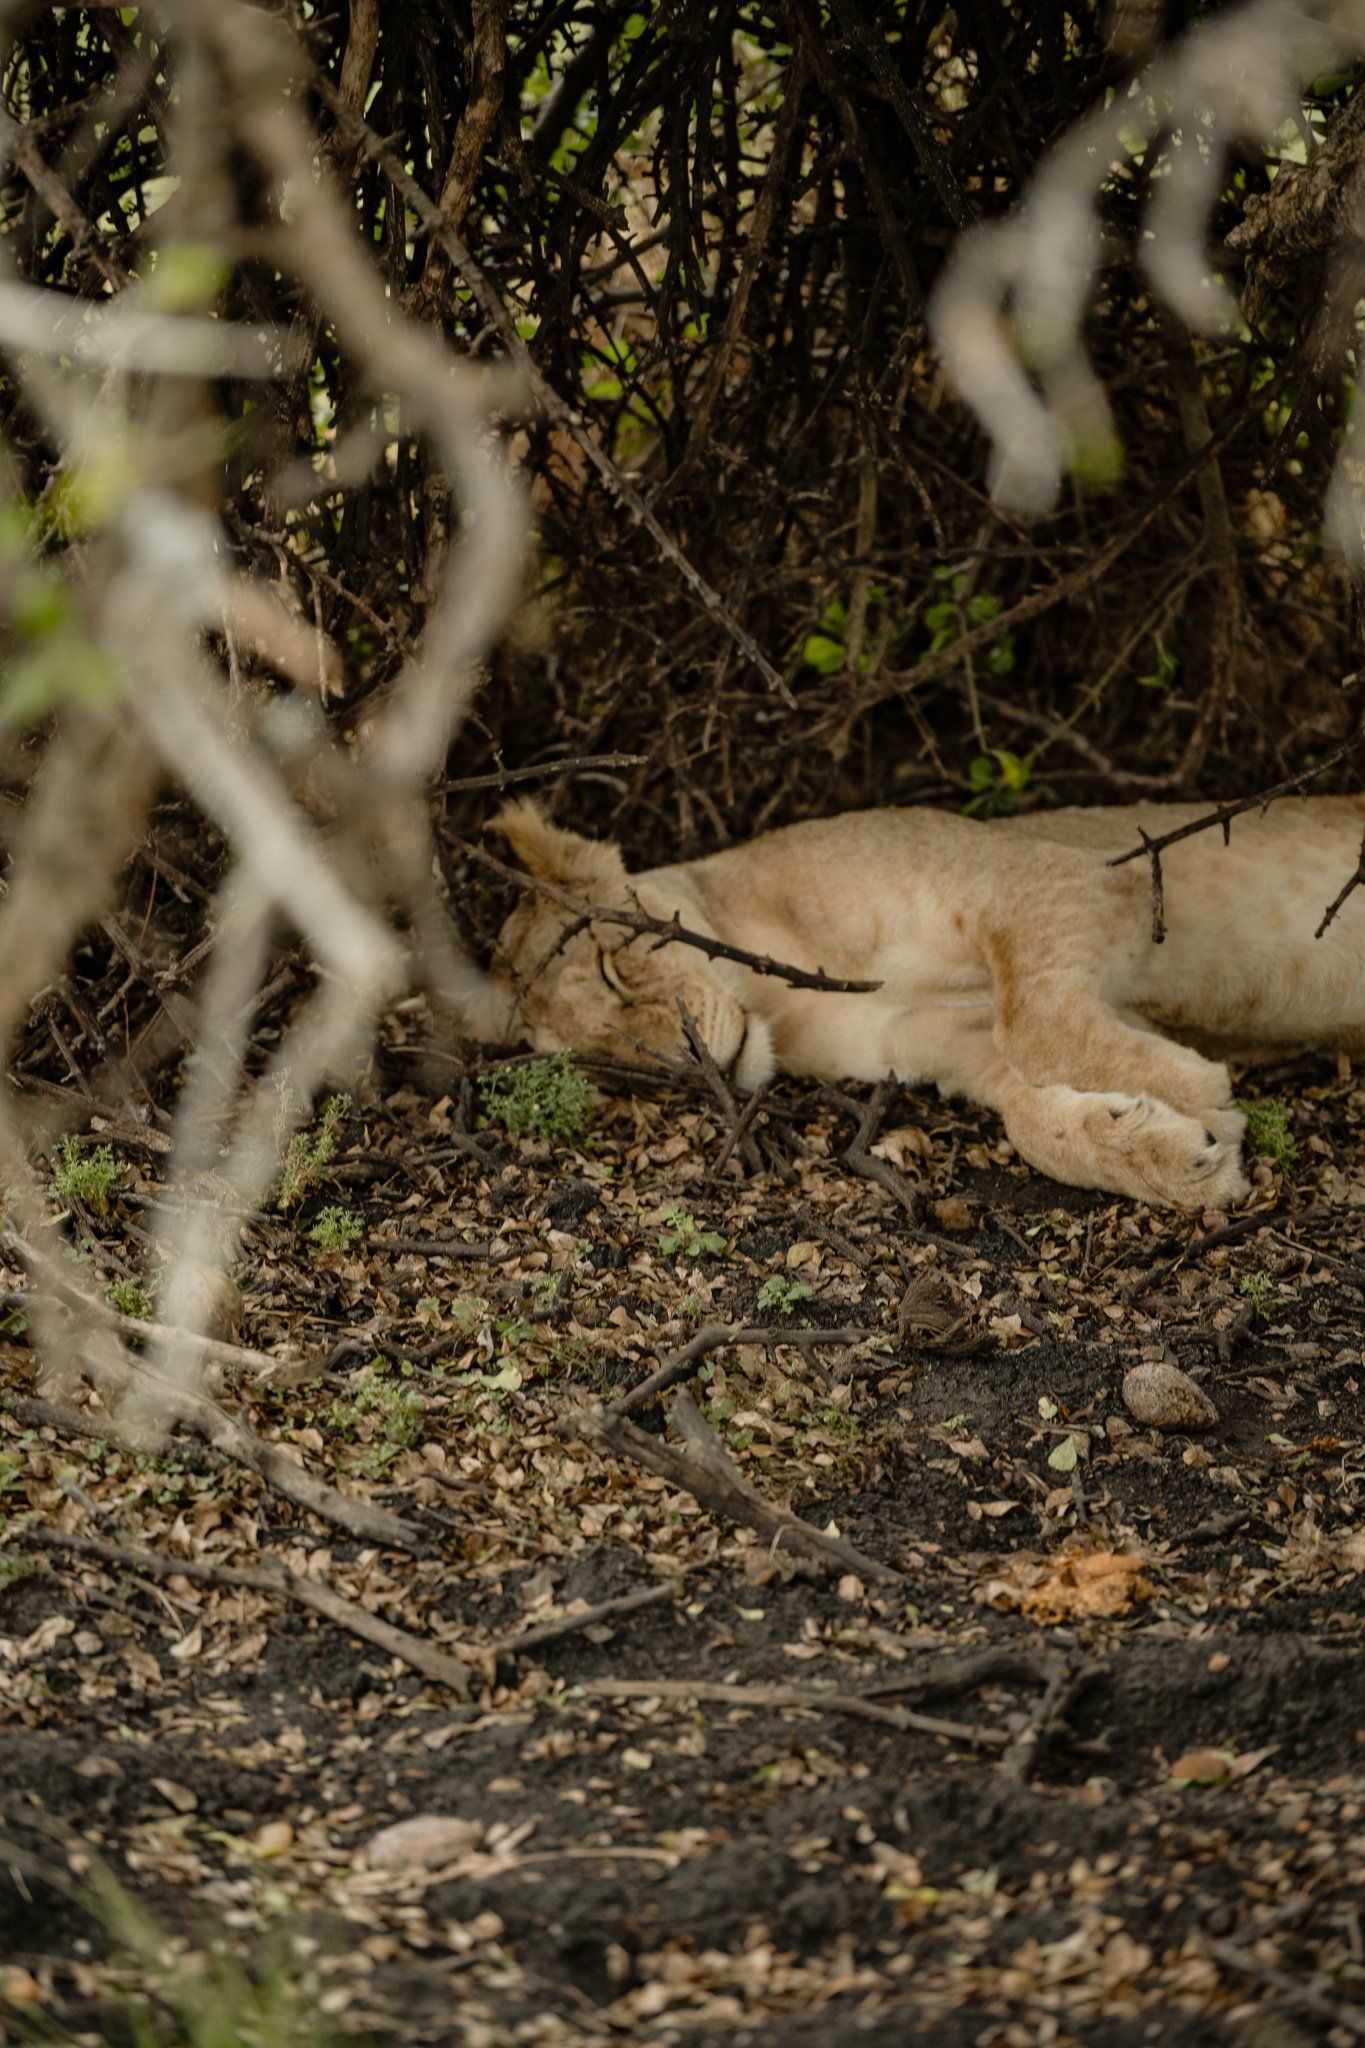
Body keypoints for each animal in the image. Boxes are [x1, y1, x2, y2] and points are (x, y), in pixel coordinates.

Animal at [470, 795, 1365, 1207]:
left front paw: (1198, 1094)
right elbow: (1028, 1115)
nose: (694, 1065)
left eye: (615, 963)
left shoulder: (1059, 873)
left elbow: (1033, 1024)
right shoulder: (944, 1039)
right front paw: (1165, 1149)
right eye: (609, 1060)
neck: (778, 997)